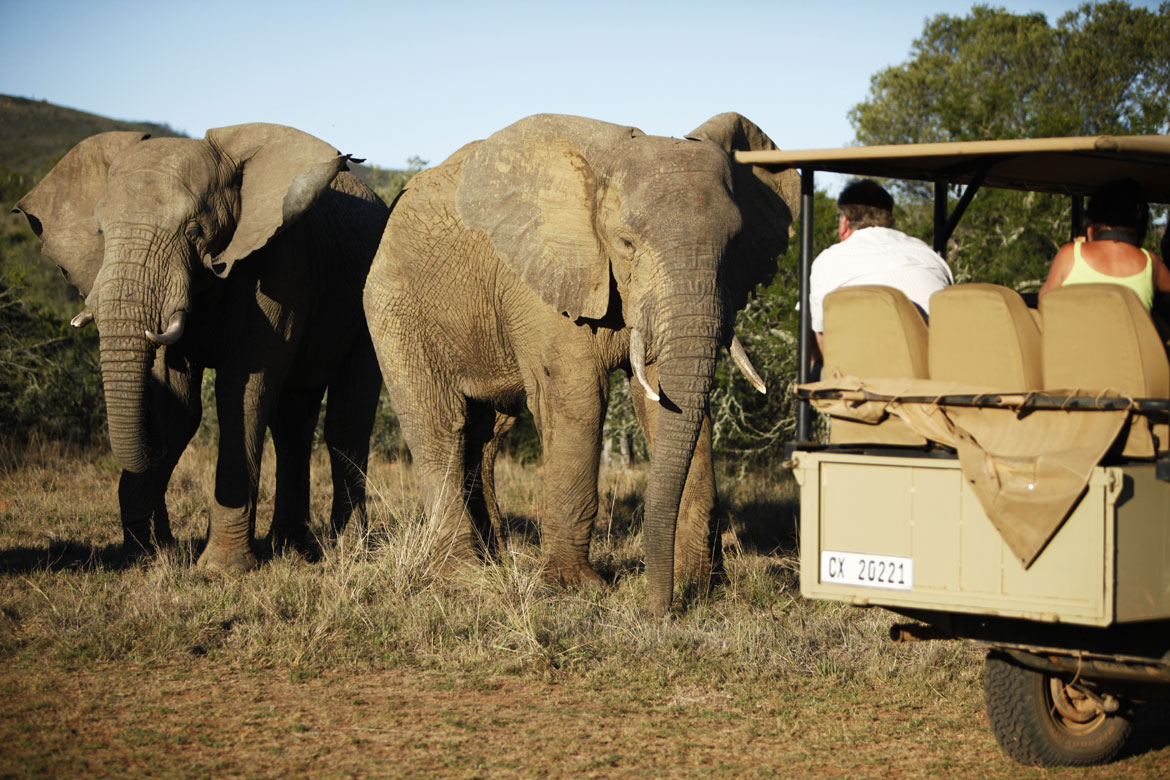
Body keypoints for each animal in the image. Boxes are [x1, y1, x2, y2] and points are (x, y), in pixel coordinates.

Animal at [14, 123, 388, 573]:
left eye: (194, 232)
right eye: (101, 233)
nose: (159, 549)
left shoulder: (281, 264)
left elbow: (241, 394)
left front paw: (220, 569)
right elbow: (178, 404)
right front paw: (149, 556)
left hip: (370, 294)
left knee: (346, 421)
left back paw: (350, 551)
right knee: (292, 421)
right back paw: (290, 549)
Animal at [365, 112, 800, 612]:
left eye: (735, 244)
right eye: (626, 243)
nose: (658, 609)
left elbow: (666, 400)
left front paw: (704, 587)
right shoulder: (541, 281)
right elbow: (578, 399)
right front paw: (576, 588)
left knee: (486, 435)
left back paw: (493, 560)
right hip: (394, 308)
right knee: (440, 427)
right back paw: (462, 575)